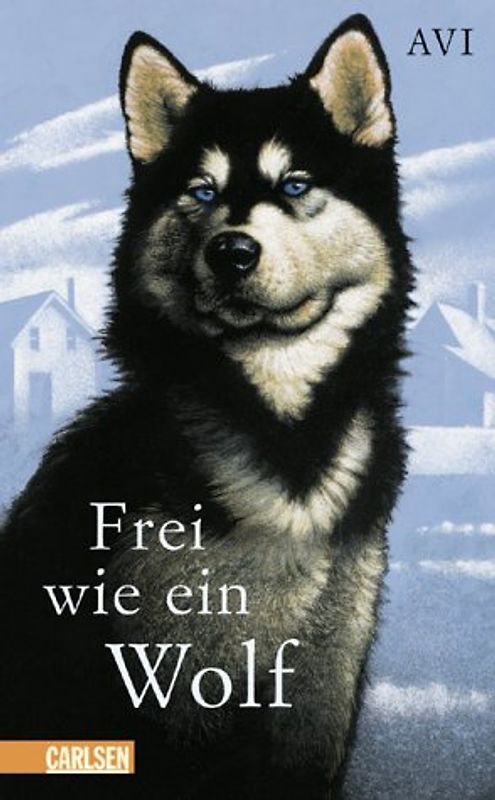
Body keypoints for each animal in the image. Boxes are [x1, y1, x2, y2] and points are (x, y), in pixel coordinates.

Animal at [0, 13, 412, 800]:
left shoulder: (319, 694)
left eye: (295, 183)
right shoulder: (167, 689)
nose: (232, 251)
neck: (281, 443)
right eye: (199, 192)